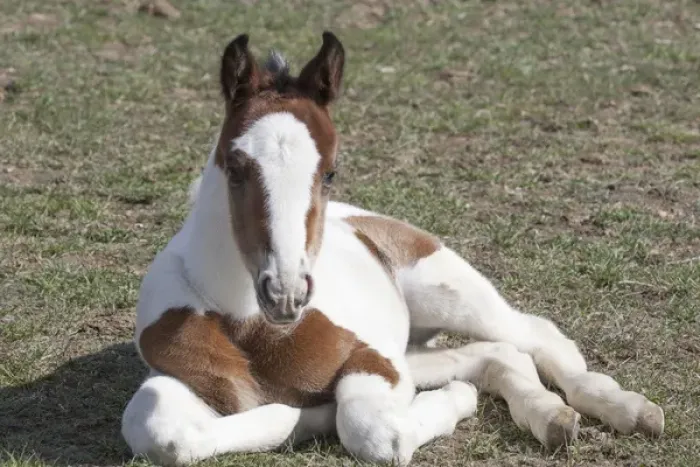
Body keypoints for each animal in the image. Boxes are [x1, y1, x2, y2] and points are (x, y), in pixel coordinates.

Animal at [121, 32, 664, 466]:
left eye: (330, 171)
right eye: (235, 168)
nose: (286, 294)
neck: (248, 324)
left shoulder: (372, 360)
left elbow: (374, 430)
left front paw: (448, 401)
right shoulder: (188, 381)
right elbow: (158, 430)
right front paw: (306, 416)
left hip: (449, 293)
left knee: (536, 335)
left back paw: (627, 409)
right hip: (412, 345)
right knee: (497, 354)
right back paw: (550, 416)